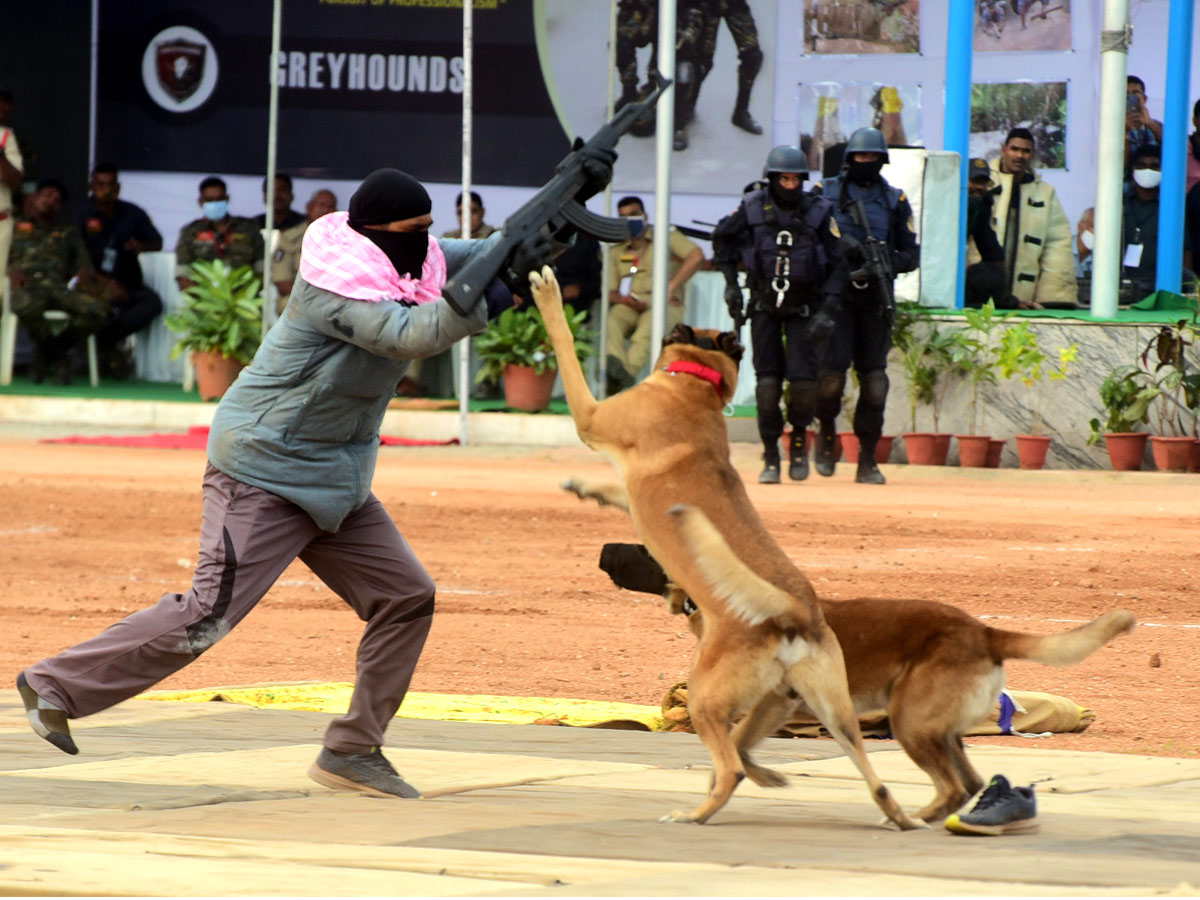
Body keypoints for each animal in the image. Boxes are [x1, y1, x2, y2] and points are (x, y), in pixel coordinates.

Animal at [525, 266, 916, 830]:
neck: (695, 385)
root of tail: (793, 612)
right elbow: (615, 491)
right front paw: (585, 488)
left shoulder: (590, 415)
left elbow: (565, 349)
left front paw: (547, 294)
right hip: (825, 709)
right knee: (871, 775)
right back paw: (894, 814)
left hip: (708, 696)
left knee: (729, 765)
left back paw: (695, 813)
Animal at [597, 540, 1132, 830]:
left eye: (643, 547)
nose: (601, 550)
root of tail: (983, 631)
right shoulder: (777, 704)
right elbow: (741, 749)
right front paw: (765, 778)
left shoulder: (766, 703)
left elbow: (733, 754)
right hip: (937, 729)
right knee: (968, 782)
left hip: (910, 722)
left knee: (953, 783)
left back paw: (909, 817)